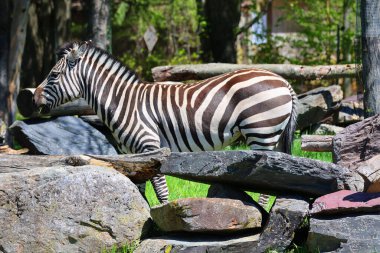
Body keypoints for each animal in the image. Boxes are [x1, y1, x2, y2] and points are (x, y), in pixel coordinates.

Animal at [34, 41, 298, 206]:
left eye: (54, 75)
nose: (32, 97)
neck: (123, 102)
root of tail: (284, 81)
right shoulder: (134, 155)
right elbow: (139, 191)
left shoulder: (150, 147)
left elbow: (160, 190)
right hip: (270, 135)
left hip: (261, 131)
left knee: (265, 186)